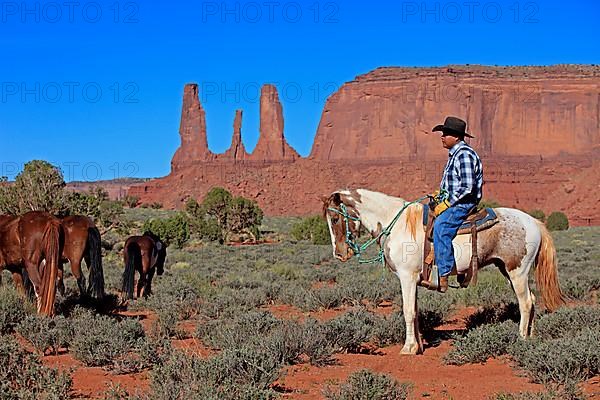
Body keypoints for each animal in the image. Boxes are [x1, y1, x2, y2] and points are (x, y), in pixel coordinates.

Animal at [324, 189, 564, 354]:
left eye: (335, 219)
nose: (339, 254)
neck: (397, 224)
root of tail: (533, 221)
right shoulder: (413, 280)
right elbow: (415, 311)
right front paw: (418, 346)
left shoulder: (406, 277)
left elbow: (408, 311)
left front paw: (408, 348)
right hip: (509, 271)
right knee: (532, 300)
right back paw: (531, 336)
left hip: (517, 271)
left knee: (526, 303)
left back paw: (521, 339)